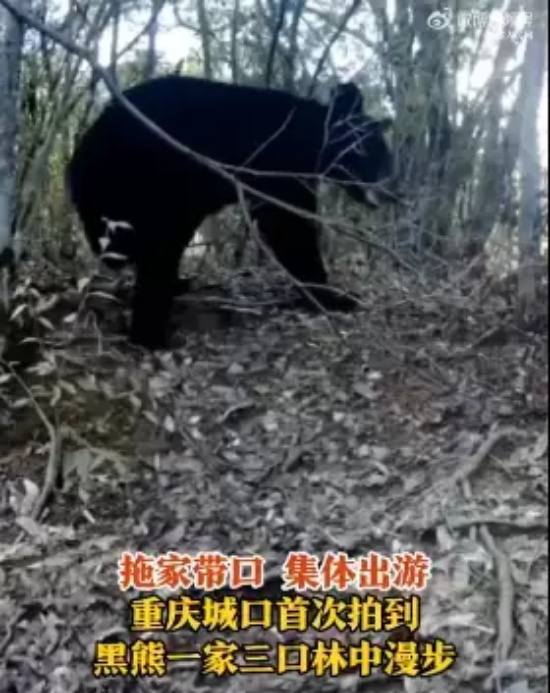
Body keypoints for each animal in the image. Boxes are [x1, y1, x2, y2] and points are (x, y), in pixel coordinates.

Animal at [66, 75, 395, 349]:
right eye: (374, 152)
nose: (391, 191)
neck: (312, 137)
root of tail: (82, 157)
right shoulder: (280, 167)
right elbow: (289, 227)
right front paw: (332, 297)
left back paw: (175, 287)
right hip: (153, 187)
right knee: (159, 252)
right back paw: (150, 335)